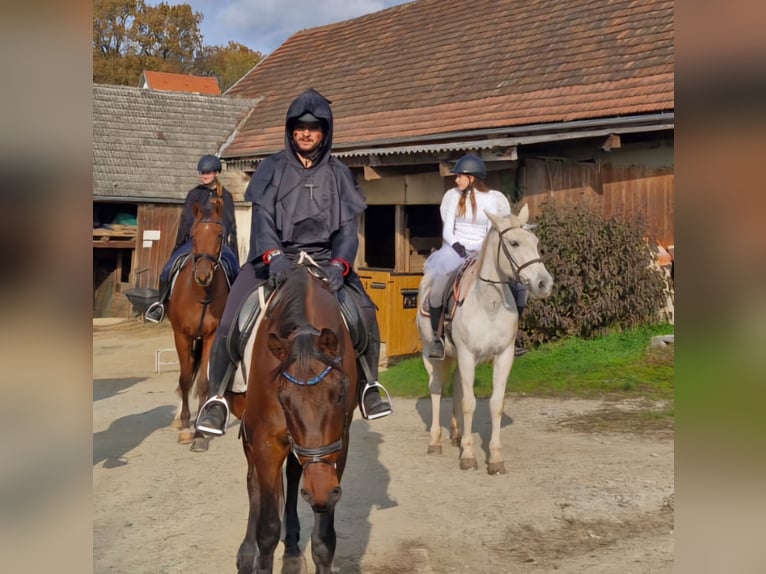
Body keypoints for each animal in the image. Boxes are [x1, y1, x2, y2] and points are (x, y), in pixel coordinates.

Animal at [231, 260, 360, 574]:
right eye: (283, 400)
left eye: (340, 394)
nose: (320, 490)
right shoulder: (265, 441)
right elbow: (267, 529)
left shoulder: (339, 446)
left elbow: (324, 541)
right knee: (254, 484)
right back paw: (246, 554)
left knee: (291, 478)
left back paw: (290, 550)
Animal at [420, 207, 552, 476]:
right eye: (513, 243)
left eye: (535, 242)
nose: (545, 284)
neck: (488, 303)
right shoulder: (467, 355)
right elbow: (470, 404)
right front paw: (469, 457)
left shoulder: (503, 356)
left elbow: (495, 404)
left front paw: (495, 459)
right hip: (431, 354)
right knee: (436, 390)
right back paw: (435, 441)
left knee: (456, 387)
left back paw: (457, 435)